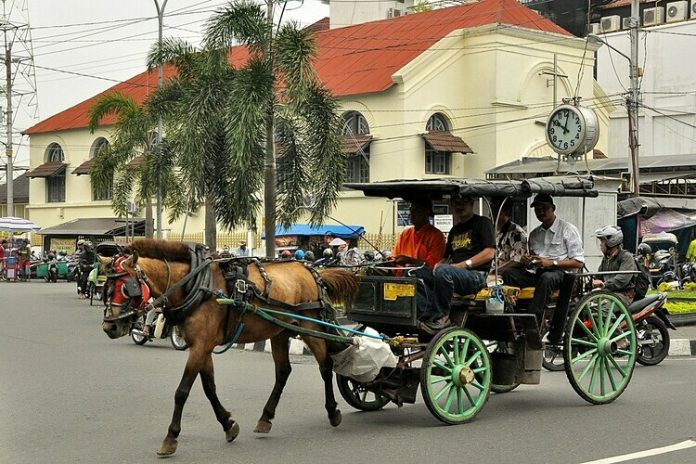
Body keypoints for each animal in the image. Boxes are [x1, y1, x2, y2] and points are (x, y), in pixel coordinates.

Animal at [103, 241, 358, 454]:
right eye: (107, 288)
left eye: (126, 288)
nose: (109, 326)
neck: (197, 284)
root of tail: (311, 270)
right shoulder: (201, 346)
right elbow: (209, 388)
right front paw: (228, 424)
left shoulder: (201, 346)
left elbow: (182, 391)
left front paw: (171, 438)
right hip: (279, 331)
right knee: (283, 371)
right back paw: (266, 418)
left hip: (309, 325)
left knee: (325, 365)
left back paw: (332, 411)